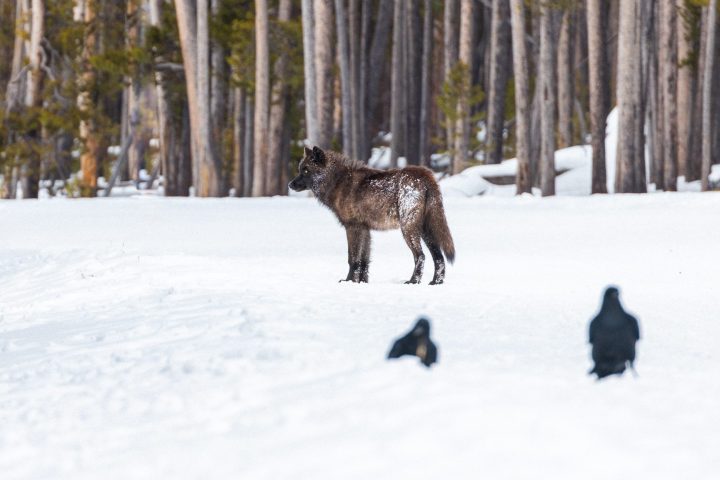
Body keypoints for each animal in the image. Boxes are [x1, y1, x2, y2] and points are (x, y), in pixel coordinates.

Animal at [289, 146, 455, 284]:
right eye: (300, 169)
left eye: (306, 170)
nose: (290, 184)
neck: (337, 182)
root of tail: (424, 174)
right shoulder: (365, 229)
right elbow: (364, 260)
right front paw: (362, 282)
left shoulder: (352, 227)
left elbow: (352, 259)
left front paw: (349, 281)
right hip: (426, 231)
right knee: (439, 257)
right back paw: (435, 282)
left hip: (408, 229)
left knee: (420, 256)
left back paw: (413, 281)